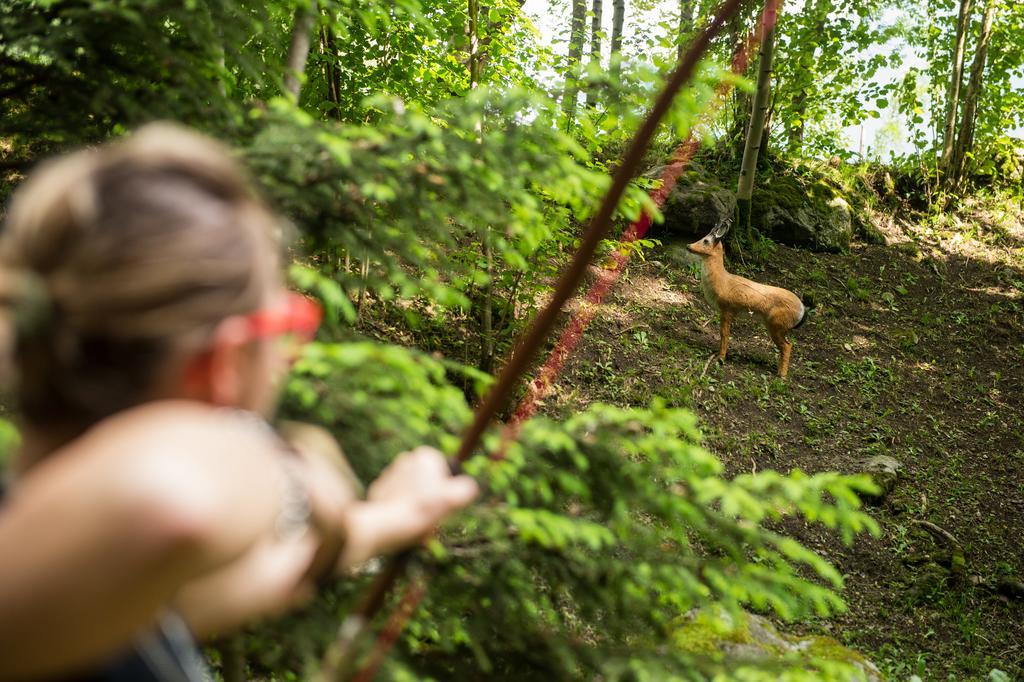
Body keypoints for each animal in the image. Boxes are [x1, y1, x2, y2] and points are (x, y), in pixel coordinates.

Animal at [692, 218, 811, 376]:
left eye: (705, 240)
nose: (688, 246)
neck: (722, 282)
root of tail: (803, 311)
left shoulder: (727, 308)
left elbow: (724, 333)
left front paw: (720, 358)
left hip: (777, 323)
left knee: (787, 345)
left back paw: (781, 375)